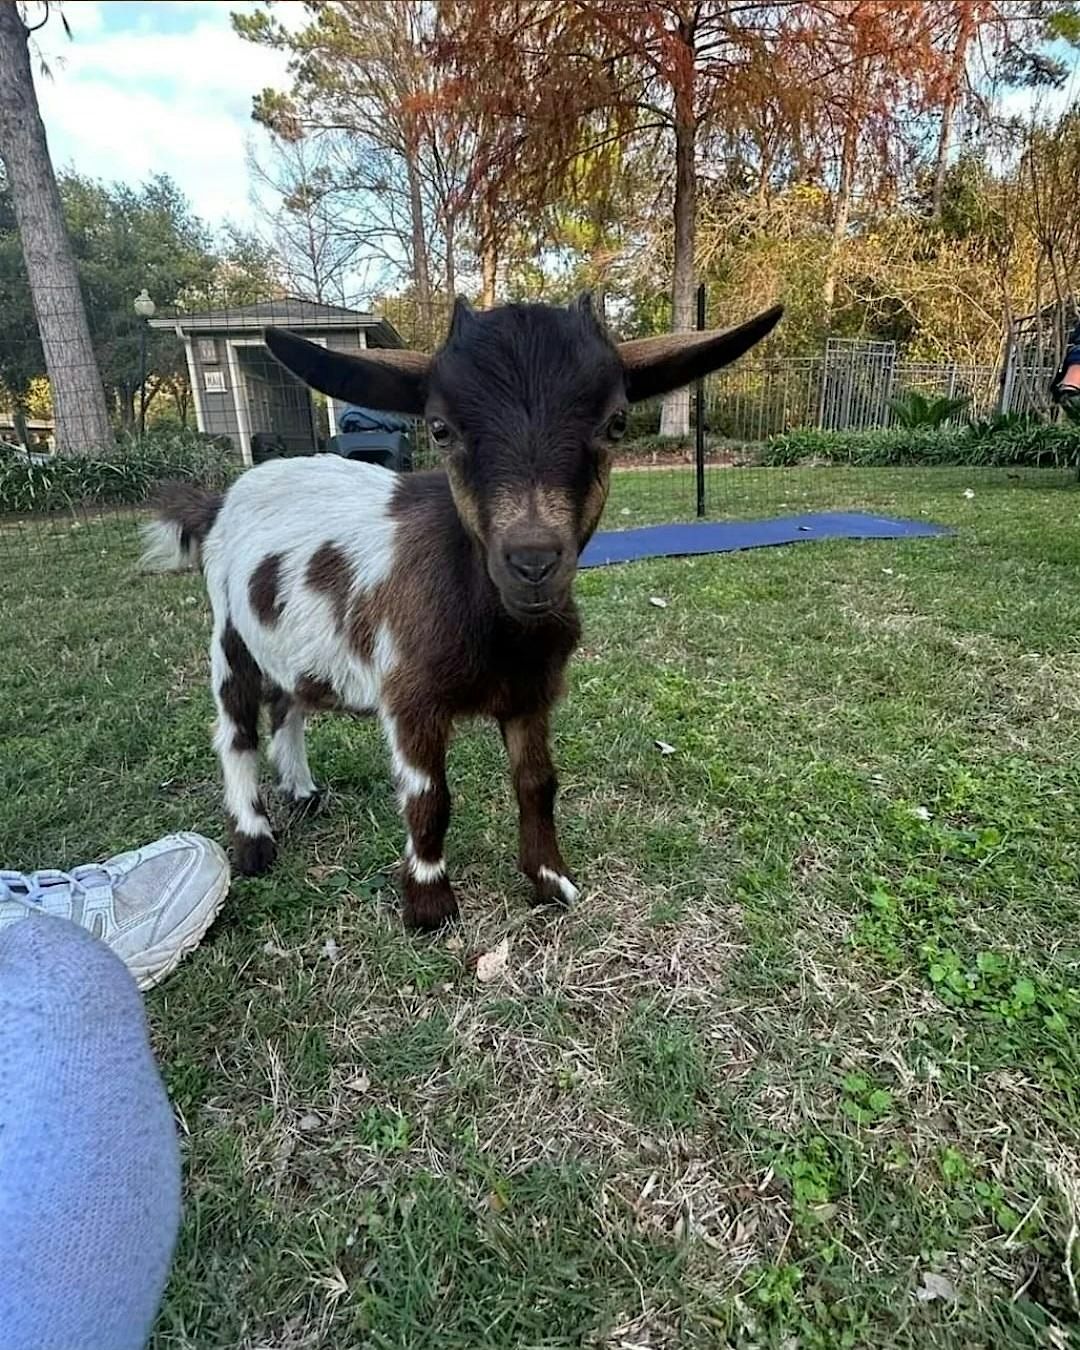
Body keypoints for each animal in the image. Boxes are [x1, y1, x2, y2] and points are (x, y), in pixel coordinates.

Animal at [143, 295, 783, 928]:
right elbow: (429, 796)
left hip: (293, 642)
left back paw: (302, 791)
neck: (500, 632)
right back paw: (254, 841)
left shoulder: (532, 692)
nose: (532, 560)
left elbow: (537, 783)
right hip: (230, 637)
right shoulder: (410, 697)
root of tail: (220, 501)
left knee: (289, 702)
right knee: (235, 731)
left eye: (617, 423)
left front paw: (551, 881)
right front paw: (429, 903)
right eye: (440, 428)